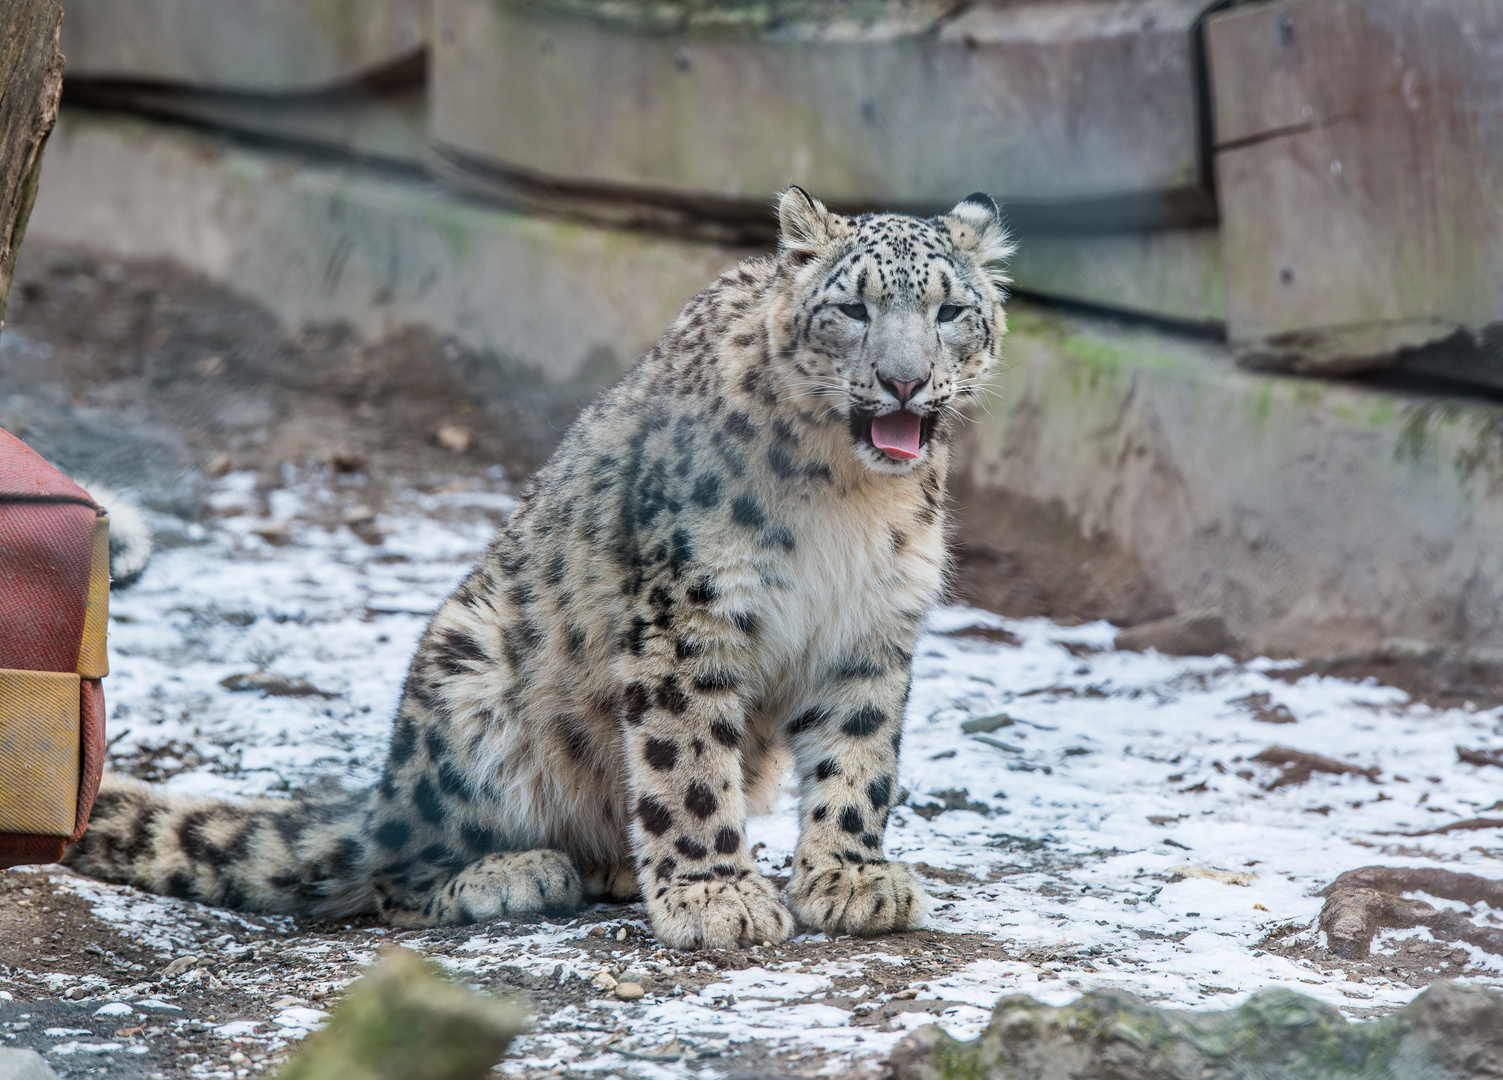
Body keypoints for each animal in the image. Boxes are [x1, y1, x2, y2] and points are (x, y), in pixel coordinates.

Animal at [64, 190, 1016, 949]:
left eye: (949, 313)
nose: (903, 381)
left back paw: (617, 865)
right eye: (851, 309)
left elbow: (858, 755)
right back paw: (516, 874)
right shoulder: (686, 615)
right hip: (468, 674)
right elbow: (688, 763)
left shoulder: (873, 625)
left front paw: (850, 878)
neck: (850, 501)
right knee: (390, 877)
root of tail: (384, 791)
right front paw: (716, 897)